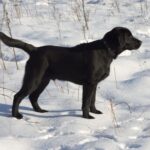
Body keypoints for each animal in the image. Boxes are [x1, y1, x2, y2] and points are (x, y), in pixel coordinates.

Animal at [0, 26, 142, 119]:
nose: (141, 42)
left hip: (43, 80)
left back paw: (39, 111)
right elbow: (86, 102)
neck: (105, 50)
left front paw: (95, 111)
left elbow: (92, 100)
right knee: (18, 96)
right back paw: (16, 115)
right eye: (129, 36)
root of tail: (34, 50)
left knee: (32, 97)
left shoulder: (94, 84)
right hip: (33, 79)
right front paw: (87, 117)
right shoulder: (89, 84)